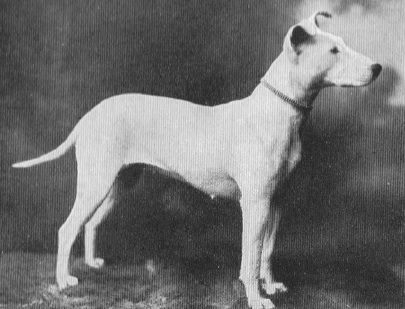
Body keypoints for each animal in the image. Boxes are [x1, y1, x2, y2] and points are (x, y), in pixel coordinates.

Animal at [12, 12, 378, 308]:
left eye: (342, 45)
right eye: (333, 51)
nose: (377, 67)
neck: (278, 111)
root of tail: (90, 114)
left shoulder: (275, 202)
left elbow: (268, 250)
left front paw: (270, 285)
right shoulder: (255, 204)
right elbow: (251, 256)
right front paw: (256, 297)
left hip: (118, 184)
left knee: (89, 223)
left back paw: (91, 263)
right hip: (96, 183)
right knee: (67, 228)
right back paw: (64, 281)